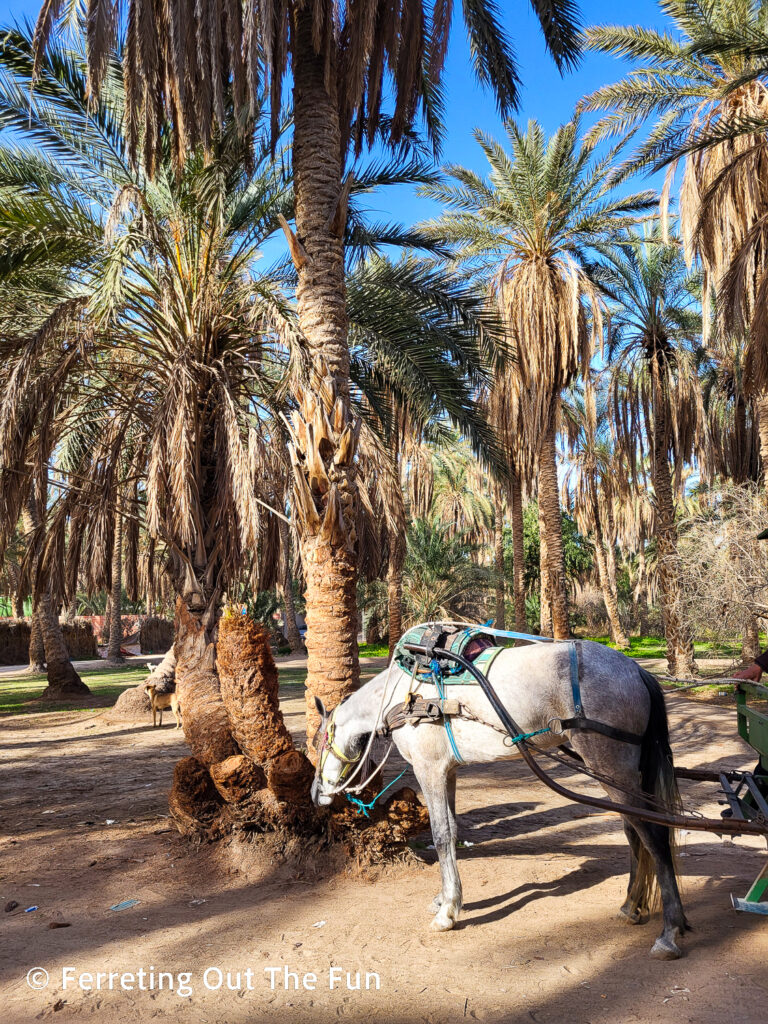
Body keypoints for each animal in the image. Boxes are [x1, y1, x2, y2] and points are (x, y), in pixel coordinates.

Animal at [313, 634, 692, 954]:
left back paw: (670, 930)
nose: (317, 794)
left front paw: (448, 911)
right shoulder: (448, 771)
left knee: (653, 835)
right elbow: (452, 830)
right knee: (634, 832)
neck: (405, 694)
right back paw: (631, 905)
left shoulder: (428, 769)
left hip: (612, 768)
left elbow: (440, 835)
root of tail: (636, 670)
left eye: (318, 741)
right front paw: (446, 897)